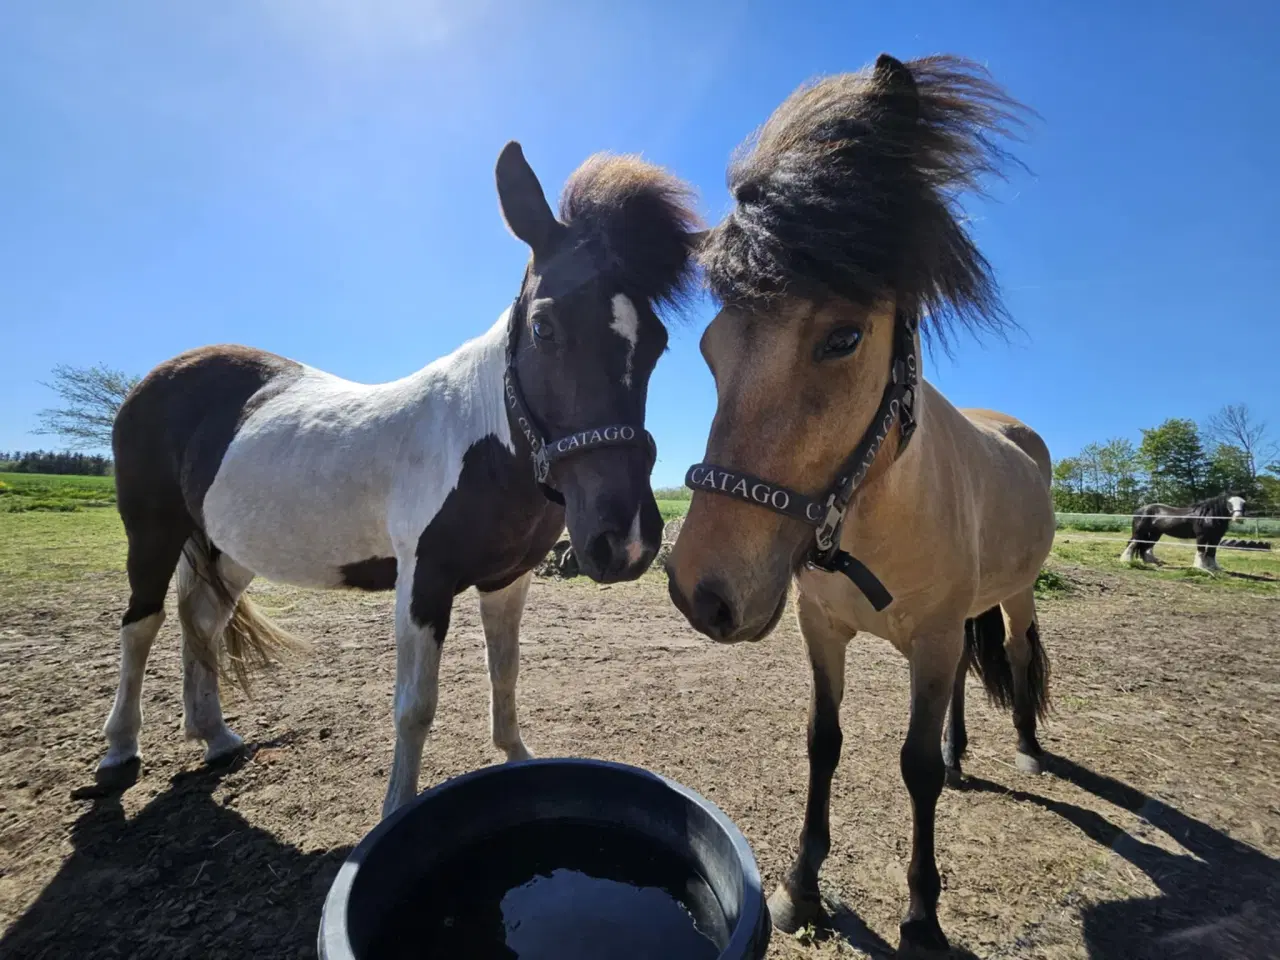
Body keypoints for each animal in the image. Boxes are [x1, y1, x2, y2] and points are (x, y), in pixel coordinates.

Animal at [98, 142, 701, 819]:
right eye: (545, 327)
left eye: (656, 342)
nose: (625, 541)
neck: (483, 441)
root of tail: (160, 378)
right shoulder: (423, 582)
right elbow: (415, 707)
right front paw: (396, 811)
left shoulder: (509, 581)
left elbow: (506, 673)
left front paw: (516, 757)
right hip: (152, 533)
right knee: (140, 625)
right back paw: (120, 750)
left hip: (229, 549)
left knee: (200, 622)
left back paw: (215, 736)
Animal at [670, 56, 1049, 957]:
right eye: (709, 347)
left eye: (843, 338)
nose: (701, 589)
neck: (872, 519)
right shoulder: (823, 628)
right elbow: (824, 742)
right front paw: (802, 887)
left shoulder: (937, 636)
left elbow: (911, 768)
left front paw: (922, 917)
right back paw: (963, 754)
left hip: (1015, 595)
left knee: (1018, 657)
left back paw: (1023, 748)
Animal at [1121, 496, 1249, 570]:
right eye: (1229, 504)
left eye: (1244, 503)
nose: (1238, 518)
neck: (1207, 516)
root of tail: (1140, 510)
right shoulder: (1201, 537)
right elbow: (1201, 552)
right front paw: (1200, 567)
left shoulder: (1215, 538)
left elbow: (1212, 552)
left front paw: (1214, 568)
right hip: (1139, 532)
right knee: (1132, 544)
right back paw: (1126, 560)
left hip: (1154, 534)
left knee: (1144, 547)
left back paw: (1151, 563)